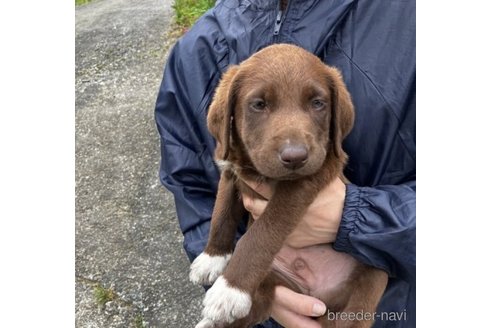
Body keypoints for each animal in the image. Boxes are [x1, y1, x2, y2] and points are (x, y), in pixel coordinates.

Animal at [190, 44, 386, 328]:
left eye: (318, 103)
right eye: (259, 104)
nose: (295, 157)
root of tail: (318, 296)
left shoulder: (309, 177)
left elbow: (260, 232)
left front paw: (230, 289)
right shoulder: (229, 170)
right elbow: (221, 214)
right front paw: (212, 258)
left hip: (372, 276)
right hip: (274, 283)